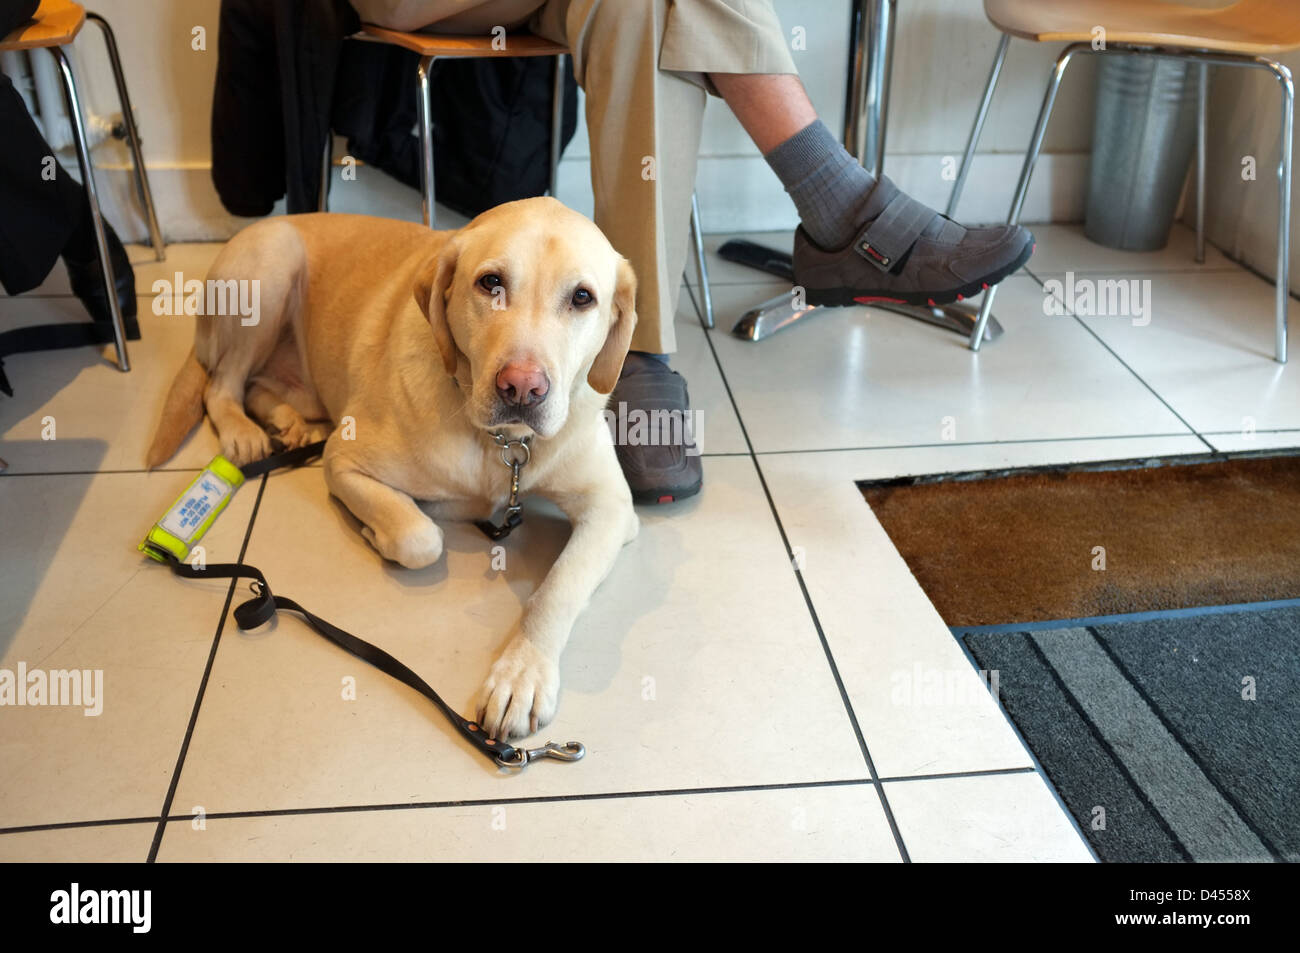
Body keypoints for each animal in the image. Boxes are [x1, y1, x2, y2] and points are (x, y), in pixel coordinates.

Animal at [146, 197, 639, 738]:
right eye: (490, 283)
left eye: (582, 297)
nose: (522, 388)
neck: (501, 445)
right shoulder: (344, 461)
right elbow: (418, 537)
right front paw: (380, 532)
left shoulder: (613, 508)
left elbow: (559, 588)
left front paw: (522, 674)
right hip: (268, 272)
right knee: (223, 384)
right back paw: (243, 431)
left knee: (256, 385)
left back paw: (290, 422)